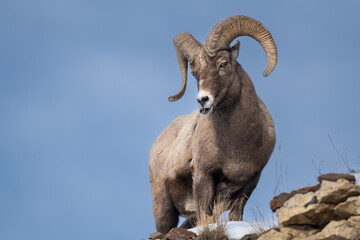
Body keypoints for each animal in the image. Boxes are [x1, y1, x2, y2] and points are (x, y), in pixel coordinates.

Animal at [149, 15, 278, 232]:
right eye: (195, 73)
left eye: (223, 64)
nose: (203, 100)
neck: (236, 148)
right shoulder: (203, 176)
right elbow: (205, 217)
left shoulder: (251, 181)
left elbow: (235, 215)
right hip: (163, 206)